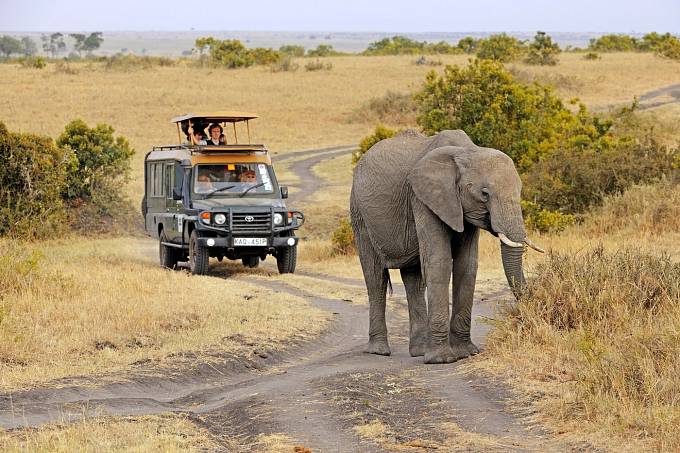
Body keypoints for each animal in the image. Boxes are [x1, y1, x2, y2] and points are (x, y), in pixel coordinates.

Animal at [350, 128, 540, 364]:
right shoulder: (423, 198)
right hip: (359, 214)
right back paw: (379, 351)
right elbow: (439, 261)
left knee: (414, 279)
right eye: (484, 194)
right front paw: (441, 360)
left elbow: (467, 265)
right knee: (375, 277)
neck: (468, 151)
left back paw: (419, 351)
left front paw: (466, 353)